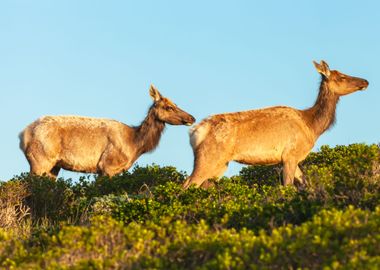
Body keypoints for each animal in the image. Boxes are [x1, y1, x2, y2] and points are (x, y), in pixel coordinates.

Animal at [18, 85, 194, 178]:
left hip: (53, 166)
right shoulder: (107, 165)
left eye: (176, 104)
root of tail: (22, 135)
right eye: (168, 107)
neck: (134, 145)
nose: (192, 117)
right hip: (40, 160)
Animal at [184, 60, 368, 189]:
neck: (312, 126)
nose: (365, 81)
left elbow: (305, 183)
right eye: (342, 76)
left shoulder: (291, 159)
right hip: (208, 157)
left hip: (220, 164)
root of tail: (195, 132)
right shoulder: (290, 154)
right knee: (187, 184)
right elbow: (287, 187)